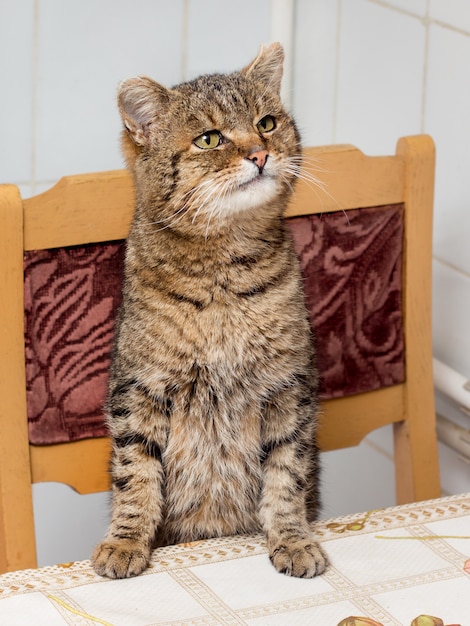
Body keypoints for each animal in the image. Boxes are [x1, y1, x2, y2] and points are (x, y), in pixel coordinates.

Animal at [92, 42, 326, 580]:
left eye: (266, 123)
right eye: (210, 139)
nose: (259, 153)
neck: (222, 276)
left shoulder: (290, 389)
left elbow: (287, 476)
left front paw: (293, 538)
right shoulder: (138, 390)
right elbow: (135, 478)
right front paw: (126, 541)